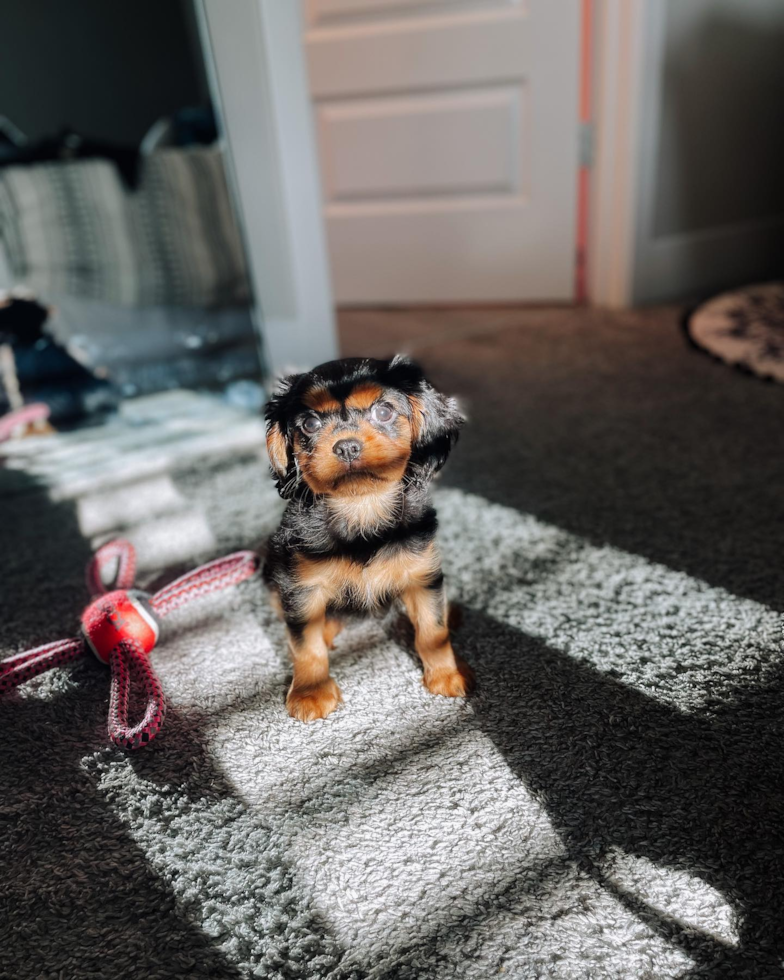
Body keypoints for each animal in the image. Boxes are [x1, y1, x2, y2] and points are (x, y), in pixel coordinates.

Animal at [264, 358, 474, 720]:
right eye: (310, 423)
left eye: (385, 412)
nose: (347, 445)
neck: (361, 504)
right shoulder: (300, 585)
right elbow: (305, 643)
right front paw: (310, 691)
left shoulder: (421, 574)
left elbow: (432, 631)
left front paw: (448, 674)